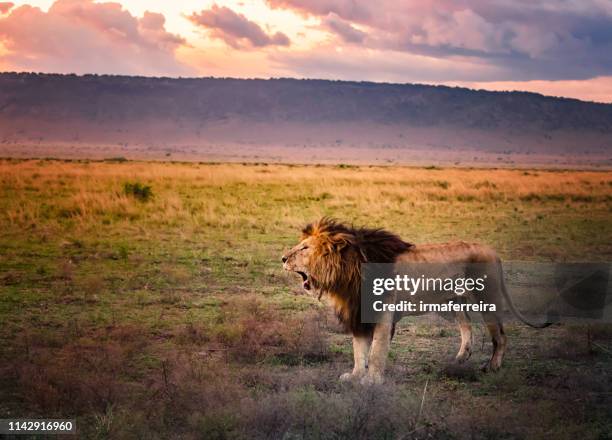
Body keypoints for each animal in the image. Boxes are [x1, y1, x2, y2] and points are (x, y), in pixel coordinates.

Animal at [282, 217, 548, 384]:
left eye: (304, 248)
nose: (283, 258)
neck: (346, 272)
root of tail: (493, 251)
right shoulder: (357, 313)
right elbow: (359, 350)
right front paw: (355, 376)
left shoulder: (382, 311)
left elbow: (376, 351)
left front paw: (372, 381)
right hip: (455, 302)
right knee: (467, 329)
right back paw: (459, 360)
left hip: (487, 297)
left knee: (500, 336)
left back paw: (492, 367)